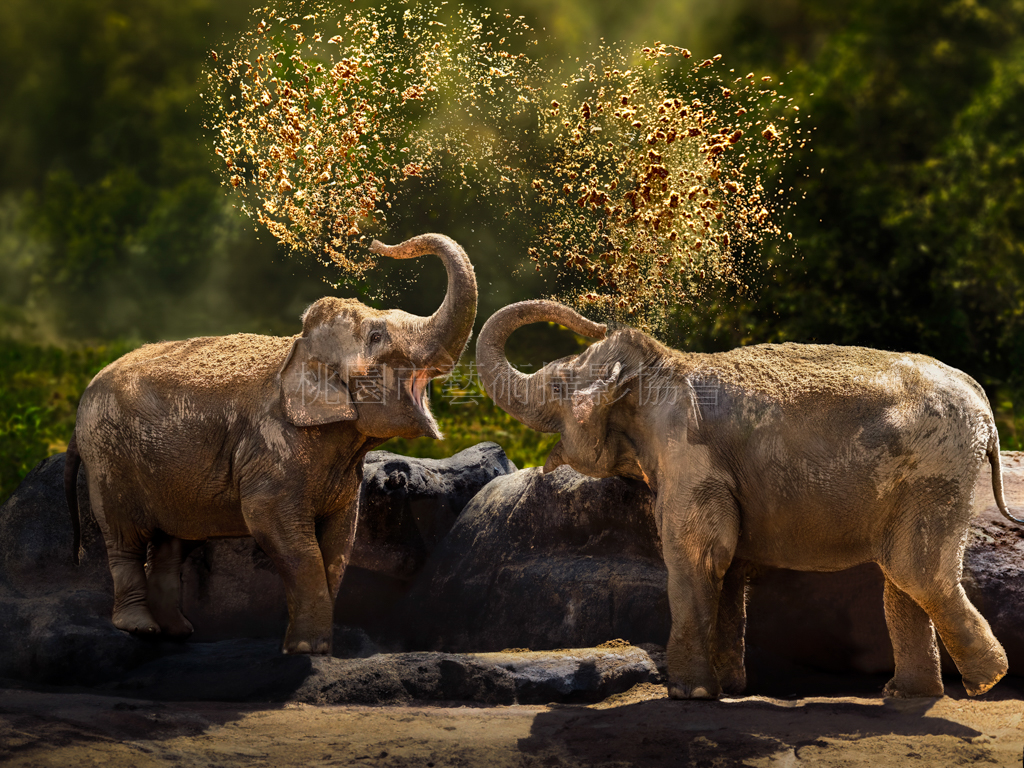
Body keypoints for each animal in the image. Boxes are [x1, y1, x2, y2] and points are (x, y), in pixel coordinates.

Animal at [64, 233, 476, 655]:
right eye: (377, 337)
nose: (377, 244)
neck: (299, 348)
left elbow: (339, 542)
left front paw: (319, 649)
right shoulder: (272, 445)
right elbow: (279, 528)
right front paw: (304, 650)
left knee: (171, 542)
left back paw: (177, 632)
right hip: (109, 458)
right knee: (124, 536)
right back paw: (140, 628)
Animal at [477, 299, 1022, 699]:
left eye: (557, 384)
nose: (596, 316)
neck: (663, 366)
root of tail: (980, 398)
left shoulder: (690, 455)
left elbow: (695, 555)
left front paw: (689, 694)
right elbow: (728, 562)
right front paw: (728, 688)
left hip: (936, 467)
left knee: (914, 569)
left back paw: (984, 682)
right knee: (900, 572)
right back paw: (909, 694)